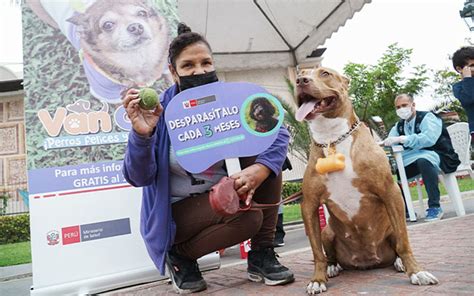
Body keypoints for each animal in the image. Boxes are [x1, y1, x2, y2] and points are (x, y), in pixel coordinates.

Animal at [294, 67, 438, 294]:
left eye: (325, 73)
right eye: (300, 73)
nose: (301, 80)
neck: (332, 139)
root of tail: (367, 262)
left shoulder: (390, 192)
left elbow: (404, 243)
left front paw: (416, 272)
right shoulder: (309, 204)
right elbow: (317, 253)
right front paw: (318, 279)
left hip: (390, 227)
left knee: (398, 244)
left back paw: (399, 262)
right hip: (327, 231)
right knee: (329, 254)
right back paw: (332, 266)